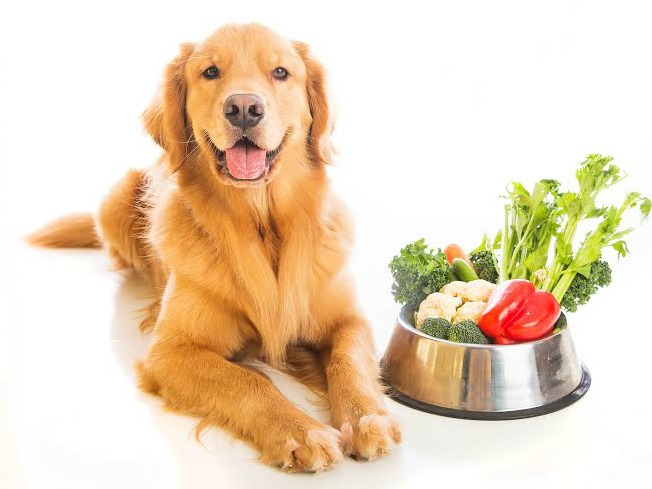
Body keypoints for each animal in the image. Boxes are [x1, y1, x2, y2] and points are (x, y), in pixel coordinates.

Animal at [30, 23, 402, 472]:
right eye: (210, 72)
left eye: (281, 72)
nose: (243, 108)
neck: (261, 223)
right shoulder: (172, 352)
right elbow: (247, 379)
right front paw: (300, 431)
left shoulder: (348, 319)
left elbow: (351, 361)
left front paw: (369, 418)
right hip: (117, 198)